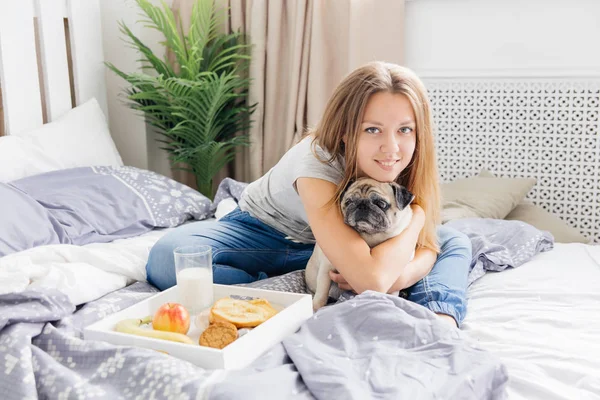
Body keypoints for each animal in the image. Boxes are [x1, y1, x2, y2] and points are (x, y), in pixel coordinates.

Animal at [304, 178, 412, 312]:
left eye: (381, 204)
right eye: (349, 202)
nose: (362, 205)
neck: (370, 237)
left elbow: (393, 292)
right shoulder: (326, 269)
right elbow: (322, 292)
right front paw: (315, 307)